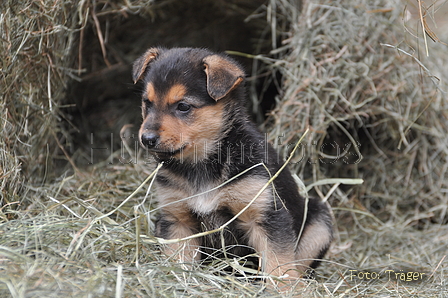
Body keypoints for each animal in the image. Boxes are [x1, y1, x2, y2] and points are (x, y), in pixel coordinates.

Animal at [133, 46, 332, 280]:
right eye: (147, 103)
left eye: (183, 106)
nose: (147, 139)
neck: (203, 162)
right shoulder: (177, 218)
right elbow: (179, 258)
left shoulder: (265, 215)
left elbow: (280, 264)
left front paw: (287, 286)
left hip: (320, 224)